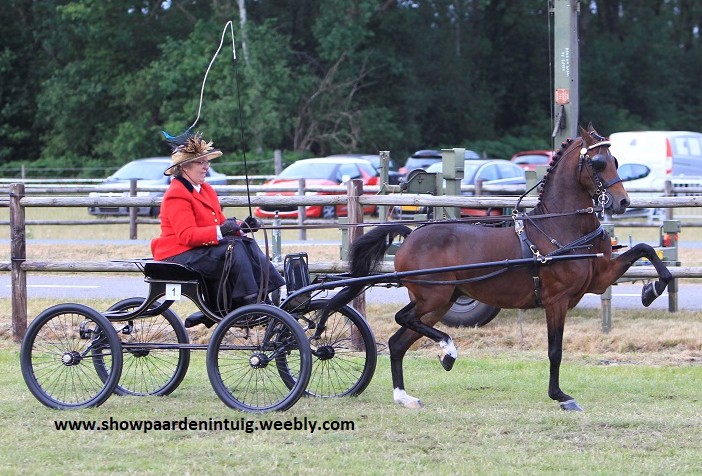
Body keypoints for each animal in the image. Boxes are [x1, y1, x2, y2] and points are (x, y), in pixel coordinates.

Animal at [325, 124, 673, 411]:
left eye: (615, 160)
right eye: (598, 163)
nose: (622, 202)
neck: (560, 226)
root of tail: (411, 234)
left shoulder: (599, 279)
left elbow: (647, 251)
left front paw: (651, 290)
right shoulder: (556, 300)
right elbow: (555, 350)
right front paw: (560, 396)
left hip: (440, 302)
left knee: (399, 341)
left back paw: (405, 396)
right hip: (433, 298)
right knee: (403, 319)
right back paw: (448, 351)